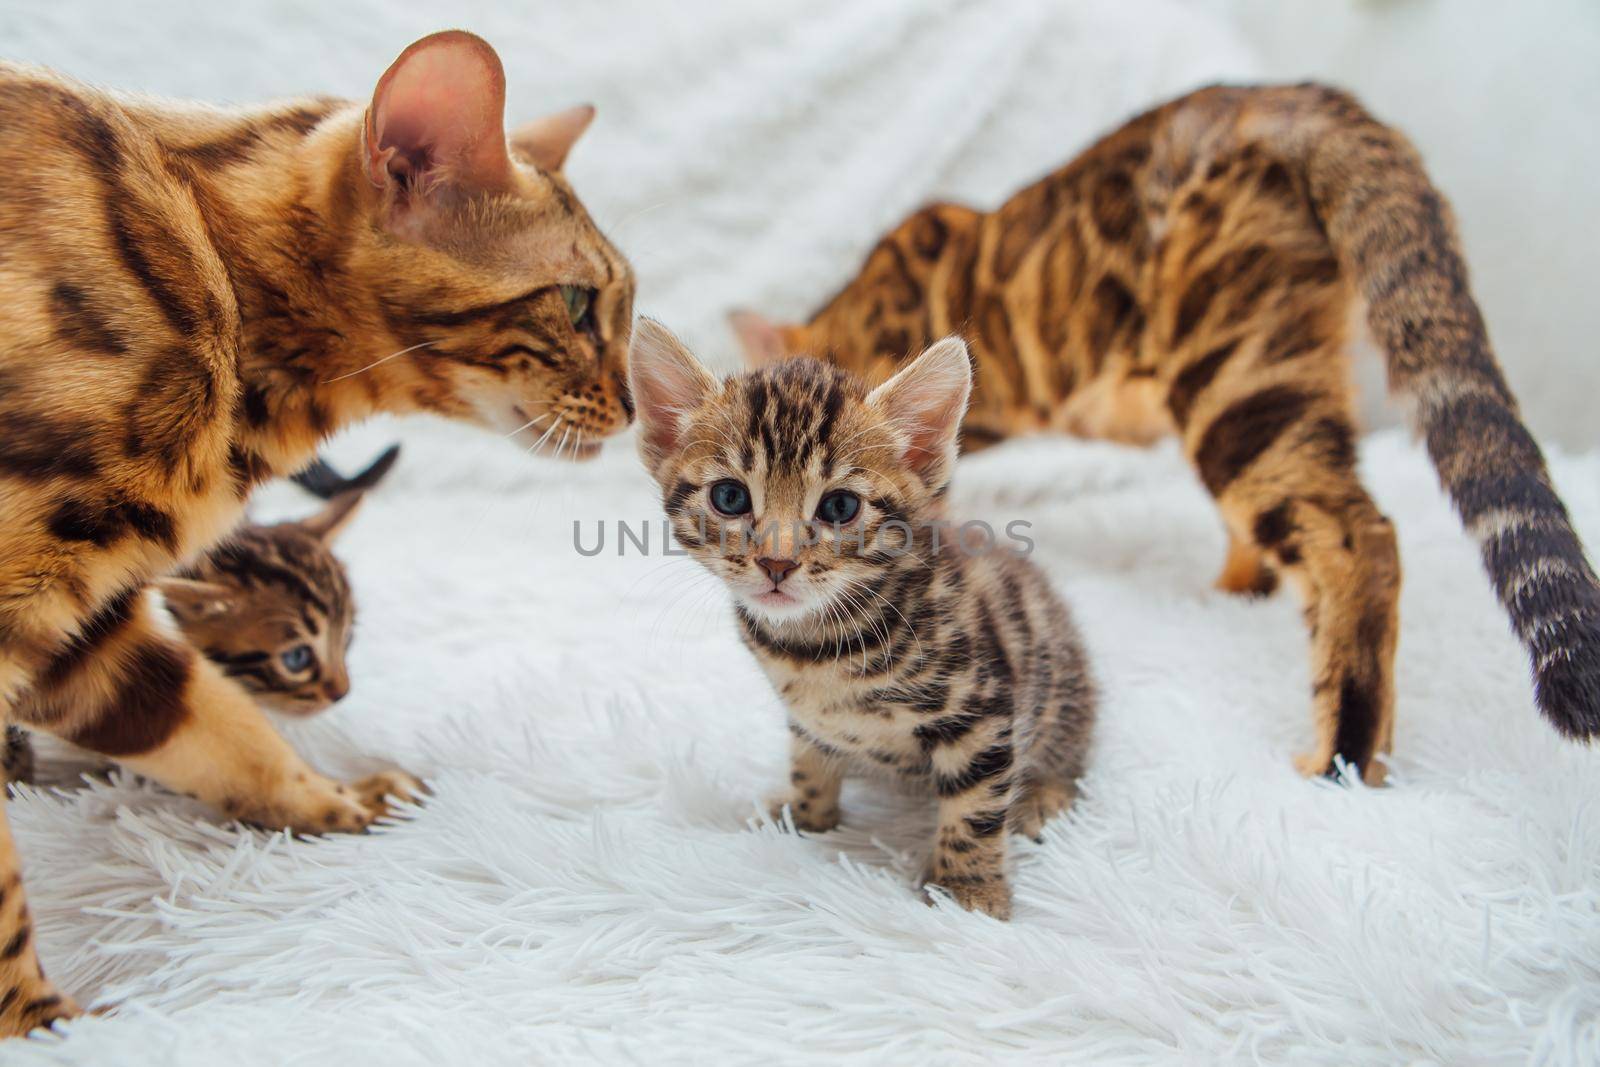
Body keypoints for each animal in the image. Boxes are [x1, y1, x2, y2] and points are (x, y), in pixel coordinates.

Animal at [1, 31, 636, 1036]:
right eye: (577, 305)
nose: (639, 405)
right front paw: (41, 1025)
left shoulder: (83, 621)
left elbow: (219, 728)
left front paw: (338, 800)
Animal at [630, 319, 1094, 921]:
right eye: (729, 497)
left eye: (840, 507)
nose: (777, 562)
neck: (816, 644)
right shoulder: (807, 719)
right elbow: (808, 761)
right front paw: (805, 815)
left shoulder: (985, 707)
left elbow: (975, 808)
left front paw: (971, 892)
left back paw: (1041, 797)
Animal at [732, 81, 1600, 783]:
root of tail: (1292, 95)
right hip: (1279, 380)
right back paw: (1239, 590)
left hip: (1235, 375)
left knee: (1355, 538)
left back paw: (1343, 757)